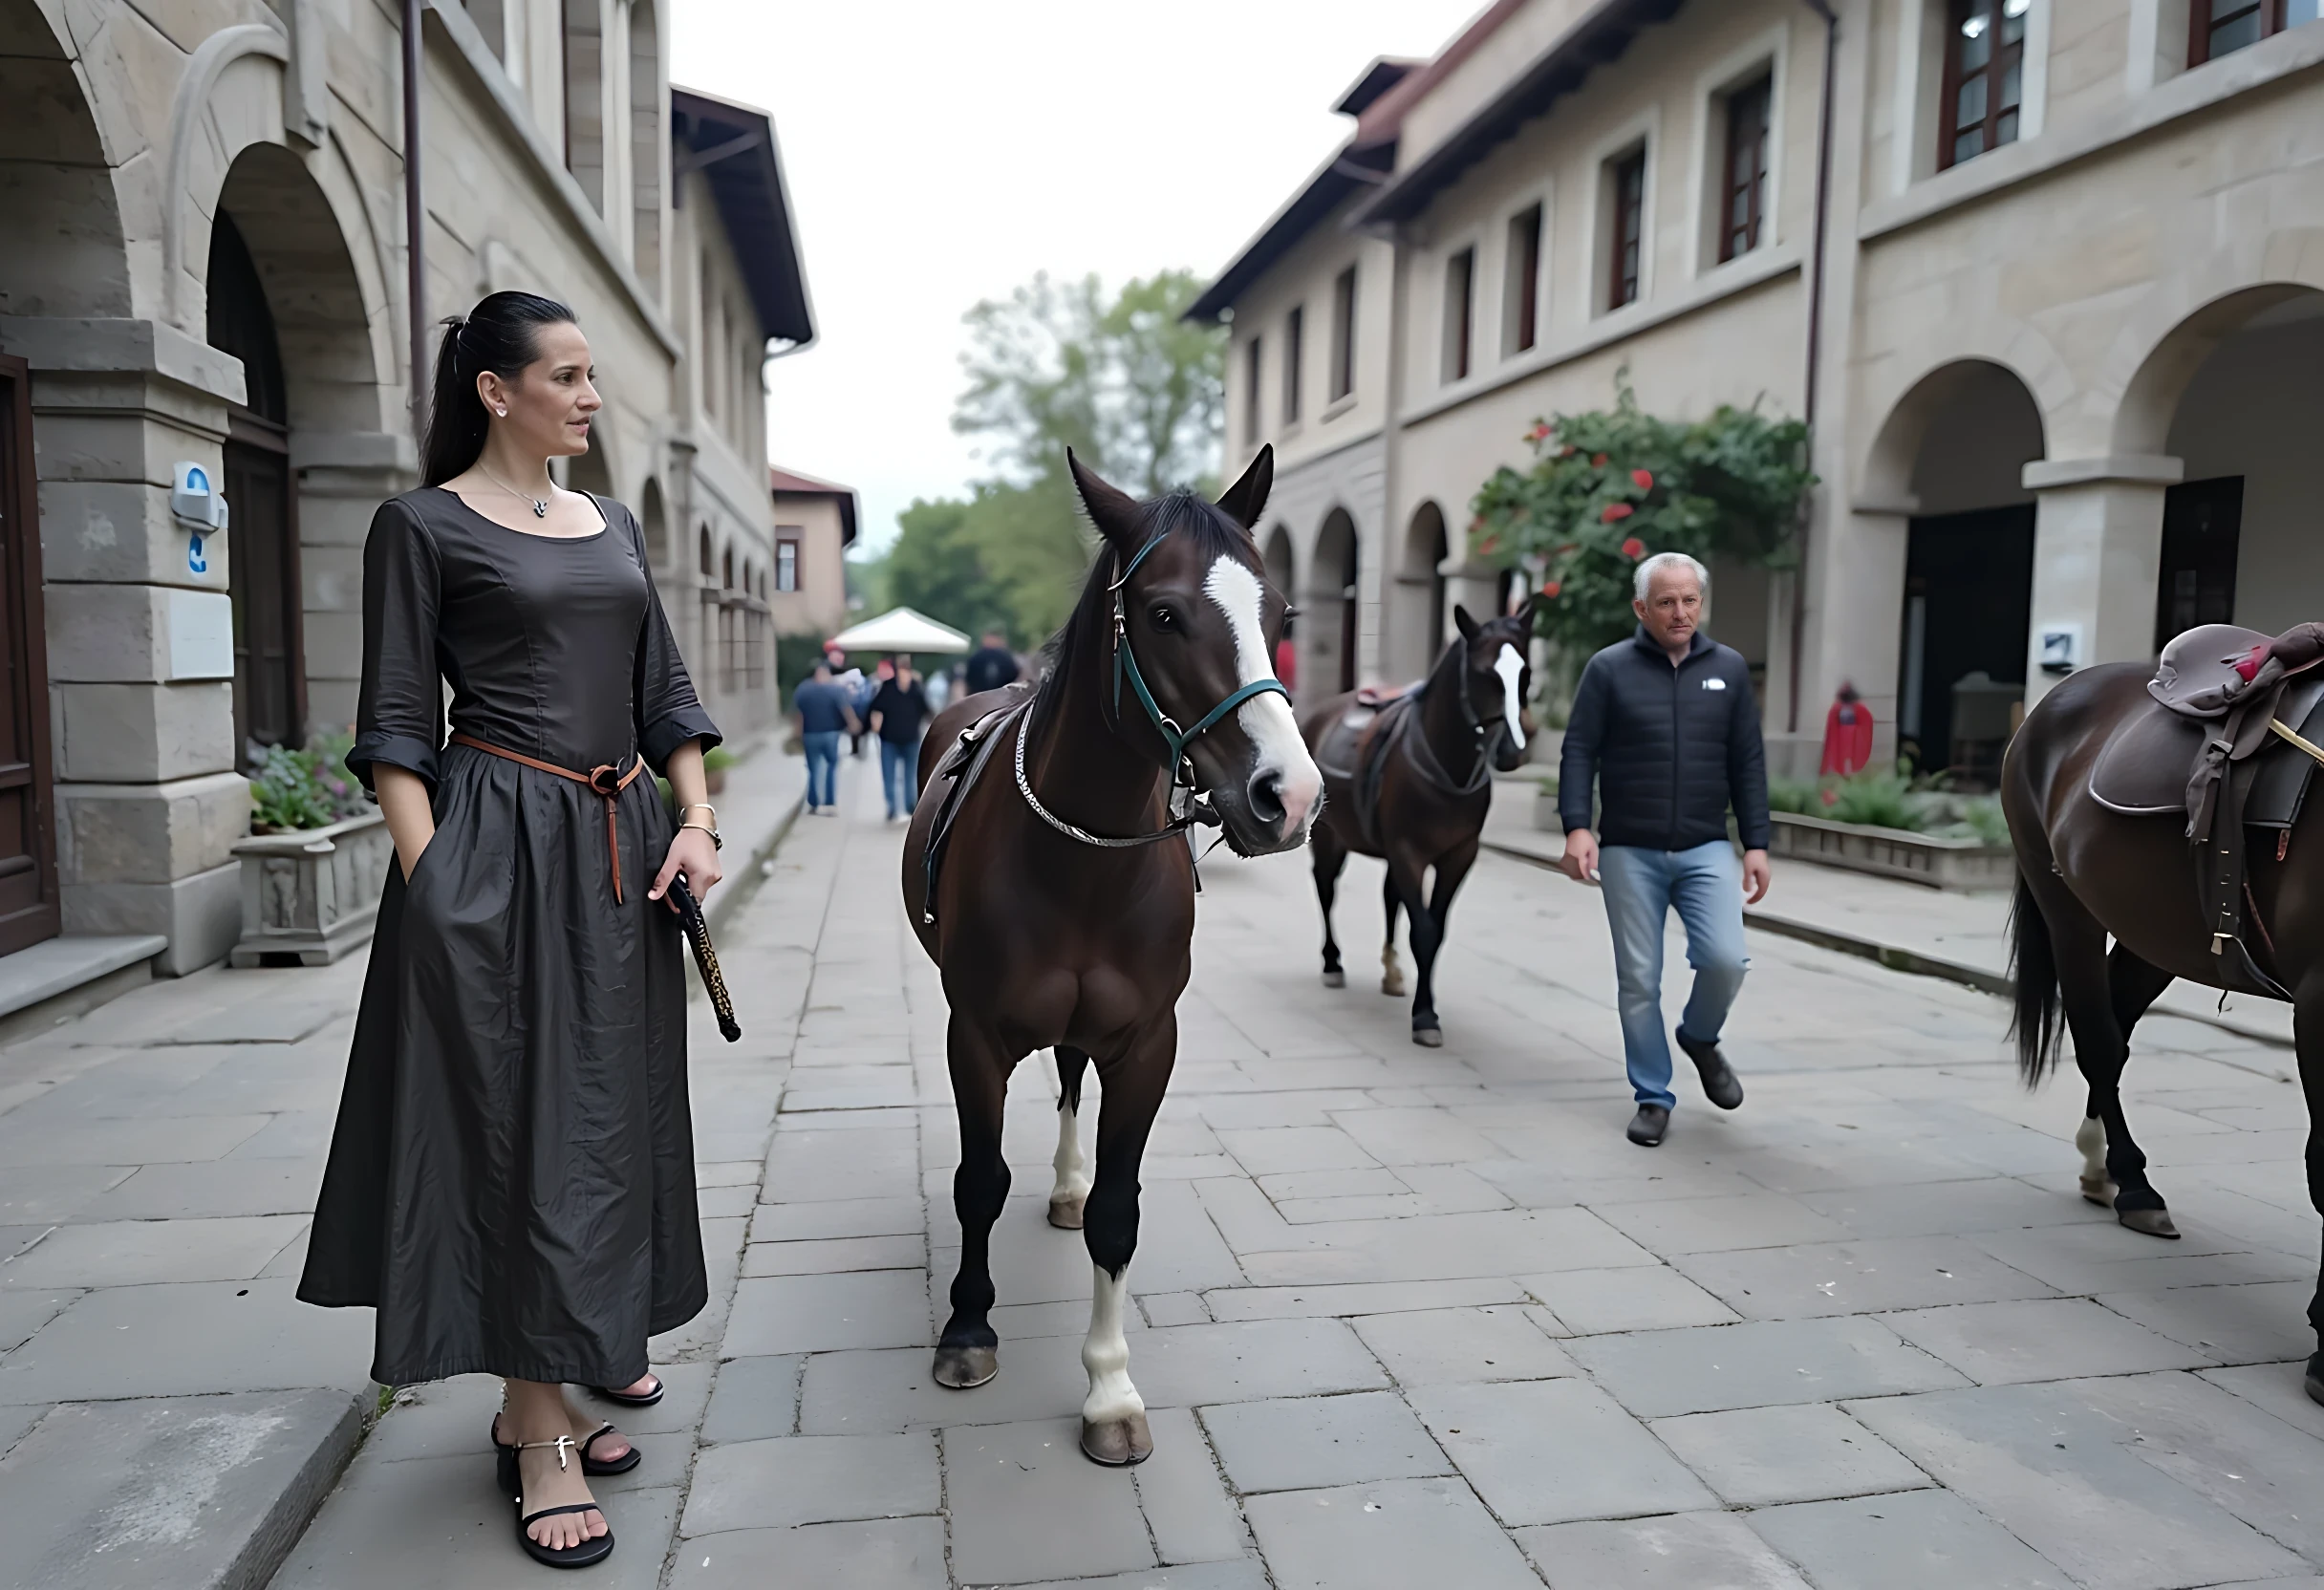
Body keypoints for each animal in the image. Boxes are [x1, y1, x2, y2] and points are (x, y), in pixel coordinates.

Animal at [896, 441, 1320, 1459]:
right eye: (1164, 614)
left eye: (1281, 615)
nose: (1288, 796)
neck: (1083, 854)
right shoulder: (974, 1035)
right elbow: (978, 1181)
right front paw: (968, 1328)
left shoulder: (1147, 1041)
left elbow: (1117, 1214)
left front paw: (1110, 1387)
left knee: (1068, 1080)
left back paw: (1066, 1184)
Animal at [1301, 594, 1534, 1041]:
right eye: (1484, 674)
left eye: (1526, 673)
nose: (1513, 751)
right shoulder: (1408, 851)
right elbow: (1423, 930)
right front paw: (1425, 1016)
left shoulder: (1459, 854)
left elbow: (1434, 927)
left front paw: (1421, 1002)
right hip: (1328, 836)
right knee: (1325, 888)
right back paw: (1332, 961)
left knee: (1389, 896)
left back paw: (1390, 971)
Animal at [1998, 651, 2324, 1404]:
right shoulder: (2322, 1001)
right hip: (2067, 905)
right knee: (2098, 1040)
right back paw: (2132, 1185)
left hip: (2155, 927)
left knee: (2113, 1028)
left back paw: (2102, 1167)